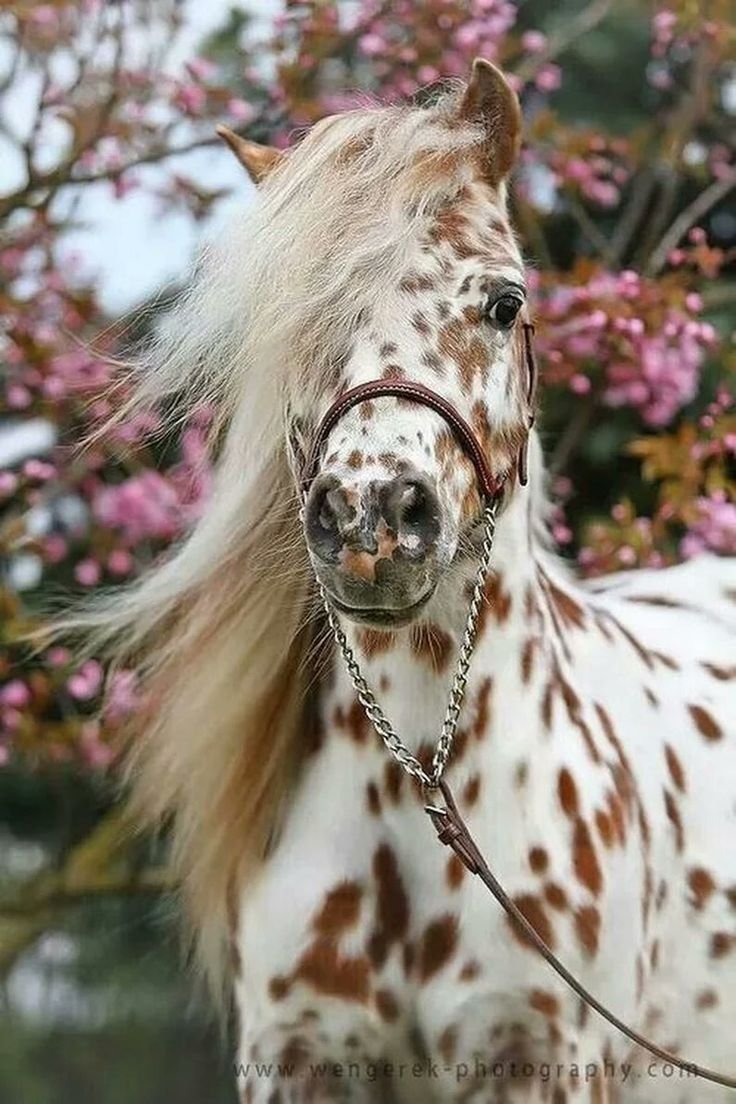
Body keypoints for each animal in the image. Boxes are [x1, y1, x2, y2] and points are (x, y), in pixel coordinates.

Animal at [89, 62, 736, 1104]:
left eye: (505, 302)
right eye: (298, 316)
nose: (372, 518)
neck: (422, 807)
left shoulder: (542, 1062)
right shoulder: (297, 1060)